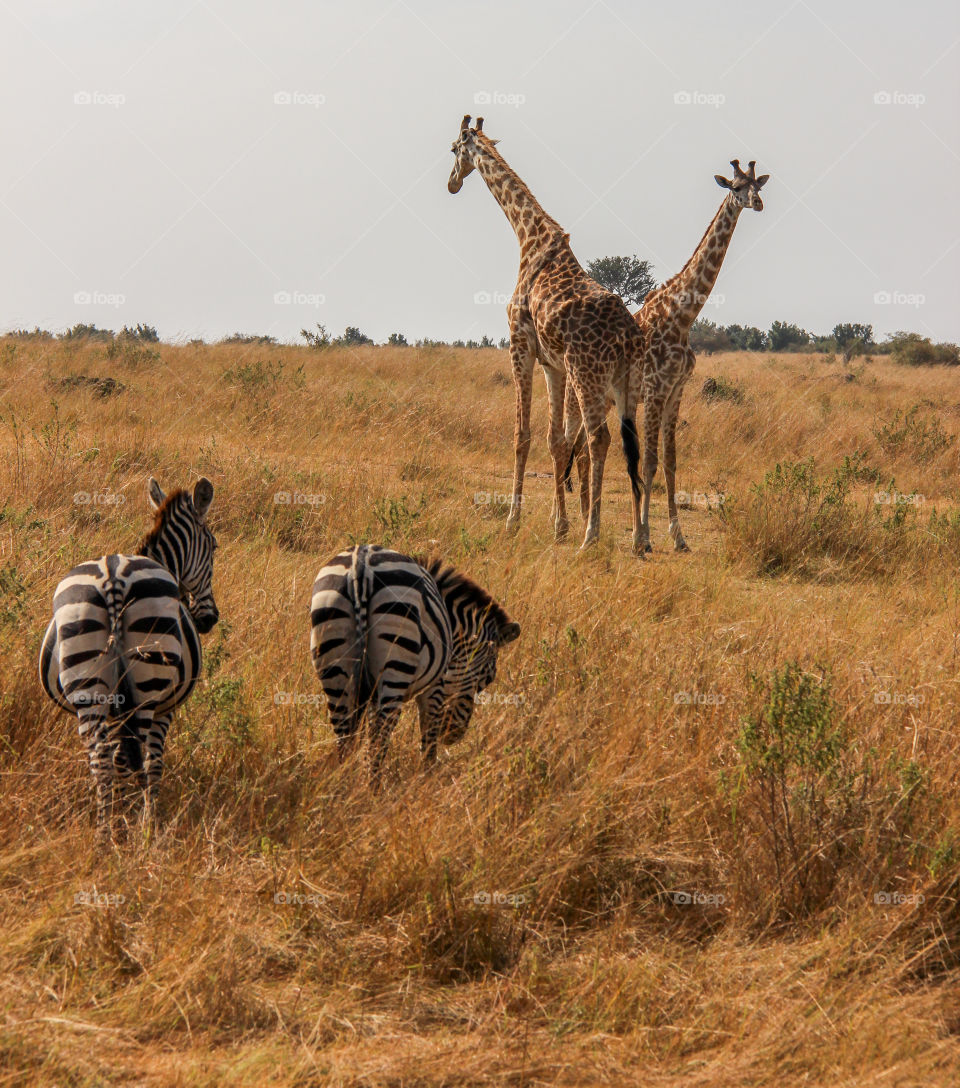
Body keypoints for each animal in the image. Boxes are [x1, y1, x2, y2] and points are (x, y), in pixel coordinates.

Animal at [39, 477, 219, 836]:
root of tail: (114, 578)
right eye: (214, 547)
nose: (210, 620)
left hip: (88, 687)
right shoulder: (165, 708)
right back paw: (125, 831)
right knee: (127, 758)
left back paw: (105, 835)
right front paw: (149, 822)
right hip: (149, 687)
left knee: (101, 762)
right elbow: (152, 763)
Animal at [309, 544, 520, 785]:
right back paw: (373, 789)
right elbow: (428, 738)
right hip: (396, 658)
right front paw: (428, 779)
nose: (453, 734)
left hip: (334, 655)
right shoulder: (435, 688)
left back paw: (347, 787)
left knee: (345, 735)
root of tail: (360, 565)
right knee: (380, 737)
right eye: (489, 678)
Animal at [448, 115, 646, 553]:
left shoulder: (520, 345)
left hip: (588, 373)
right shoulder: (553, 364)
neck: (529, 236)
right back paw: (640, 539)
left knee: (599, 439)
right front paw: (560, 525)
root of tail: (628, 336)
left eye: (453, 149)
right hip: (624, 383)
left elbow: (522, 434)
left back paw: (592, 536)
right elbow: (556, 441)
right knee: (632, 444)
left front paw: (513, 521)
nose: (451, 183)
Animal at [564, 158, 769, 552]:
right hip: (581, 395)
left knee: (582, 449)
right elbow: (649, 463)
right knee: (576, 446)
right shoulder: (655, 391)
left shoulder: (676, 391)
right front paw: (642, 537)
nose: (758, 203)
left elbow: (670, 461)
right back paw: (576, 524)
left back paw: (585, 521)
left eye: (759, 185)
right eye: (735, 187)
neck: (682, 316)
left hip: (608, 400)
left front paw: (677, 537)